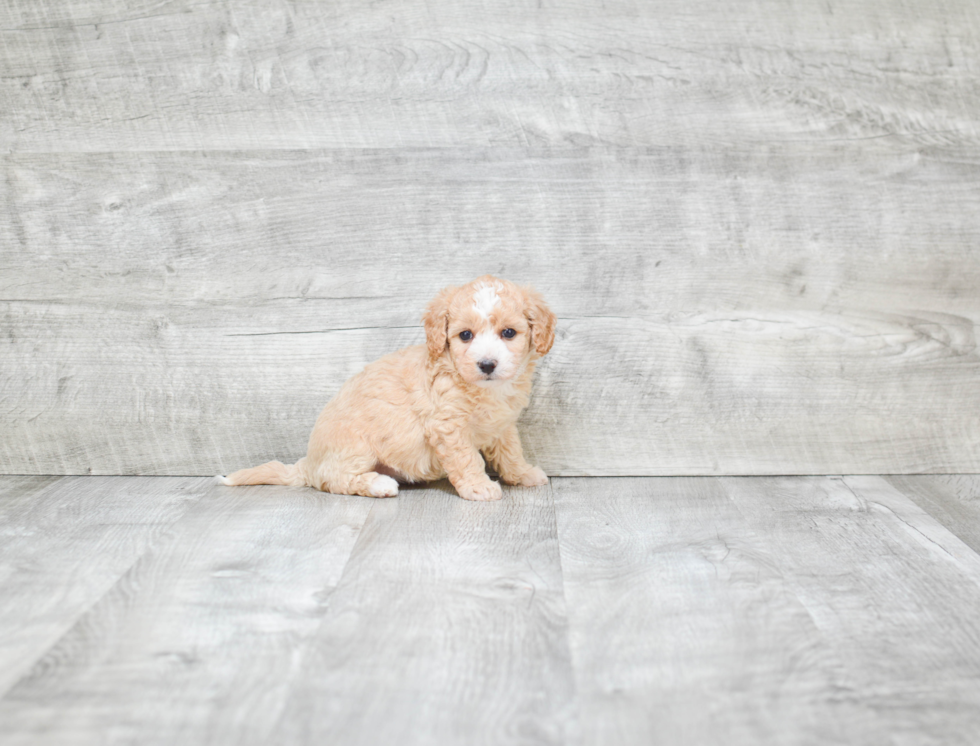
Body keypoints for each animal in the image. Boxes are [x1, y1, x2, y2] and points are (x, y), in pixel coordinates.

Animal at [224, 274, 560, 500]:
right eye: (465, 335)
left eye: (508, 333)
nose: (487, 364)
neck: (482, 388)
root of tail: (308, 463)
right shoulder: (448, 427)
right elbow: (467, 459)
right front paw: (479, 487)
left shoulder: (502, 425)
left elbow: (511, 451)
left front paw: (523, 474)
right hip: (355, 447)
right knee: (334, 480)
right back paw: (379, 484)